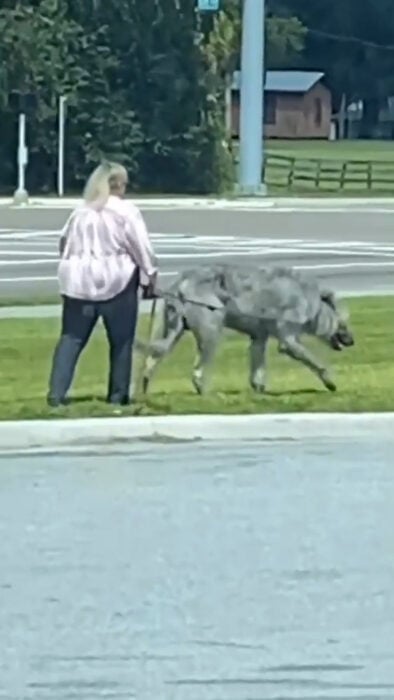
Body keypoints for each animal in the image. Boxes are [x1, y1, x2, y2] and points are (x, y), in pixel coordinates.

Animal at [135, 264, 354, 394]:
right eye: (343, 323)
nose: (352, 340)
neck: (311, 301)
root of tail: (182, 283)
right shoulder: (288, 336)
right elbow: (311, 359)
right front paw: (329, 381)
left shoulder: (259, 336)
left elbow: (257, 361)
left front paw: (258, 387)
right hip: (211, 325)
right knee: (199, 364)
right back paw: (204, 389)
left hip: (174, 324)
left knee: (156, 353)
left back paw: (145, 383)